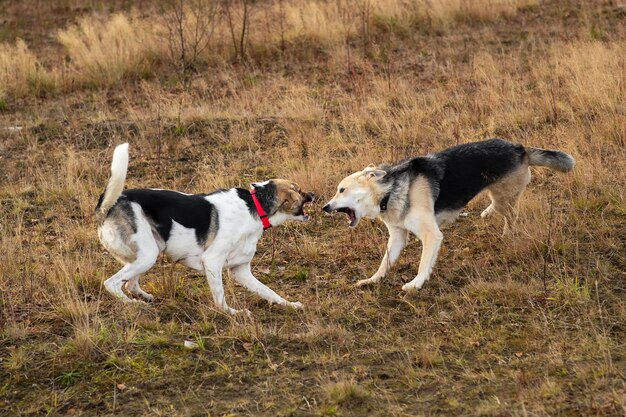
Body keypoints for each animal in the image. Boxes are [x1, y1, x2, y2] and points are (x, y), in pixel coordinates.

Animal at [95, 142, 314, 312]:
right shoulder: (212, 261)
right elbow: (220, 296)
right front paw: (231, 313)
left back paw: (144, 297)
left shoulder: (241, 270)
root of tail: (108, 206)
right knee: (112, 284)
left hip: (148, 253)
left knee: (130, 283)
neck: (255, 205)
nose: (313, 194)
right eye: (298, 190)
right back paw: (132, 304)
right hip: (147, 255)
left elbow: (269, 291)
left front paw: (290, 305)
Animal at [324, 138, 572, 290]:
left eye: (341, 190)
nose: (324, 207)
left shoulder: (431, 235)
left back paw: (505, 233)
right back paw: (487, 212)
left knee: (511, 217)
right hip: (498, 195)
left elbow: (424, 263)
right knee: (501, 208)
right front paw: (372, 280)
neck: (389, 191)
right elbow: (385, 263)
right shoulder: (397, 237)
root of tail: (520, 148)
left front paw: (416, 284)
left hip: (504, 198)